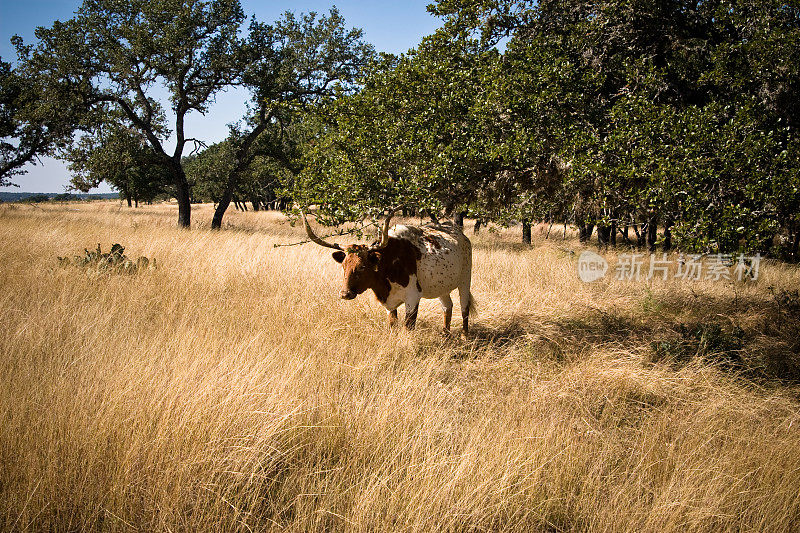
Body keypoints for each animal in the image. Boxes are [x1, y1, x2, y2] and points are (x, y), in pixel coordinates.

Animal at [304, 210, 472, 334]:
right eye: (343, 266)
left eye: (362, 266)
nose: (345, 294)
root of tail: (460, 235)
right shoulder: (390, 304)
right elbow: (392, 325)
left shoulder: (413, 297)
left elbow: (408, 327)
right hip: (442, 286)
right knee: (447, 307)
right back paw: (445, 335)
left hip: (465, 280)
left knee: (464, 308)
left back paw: (464, 336)